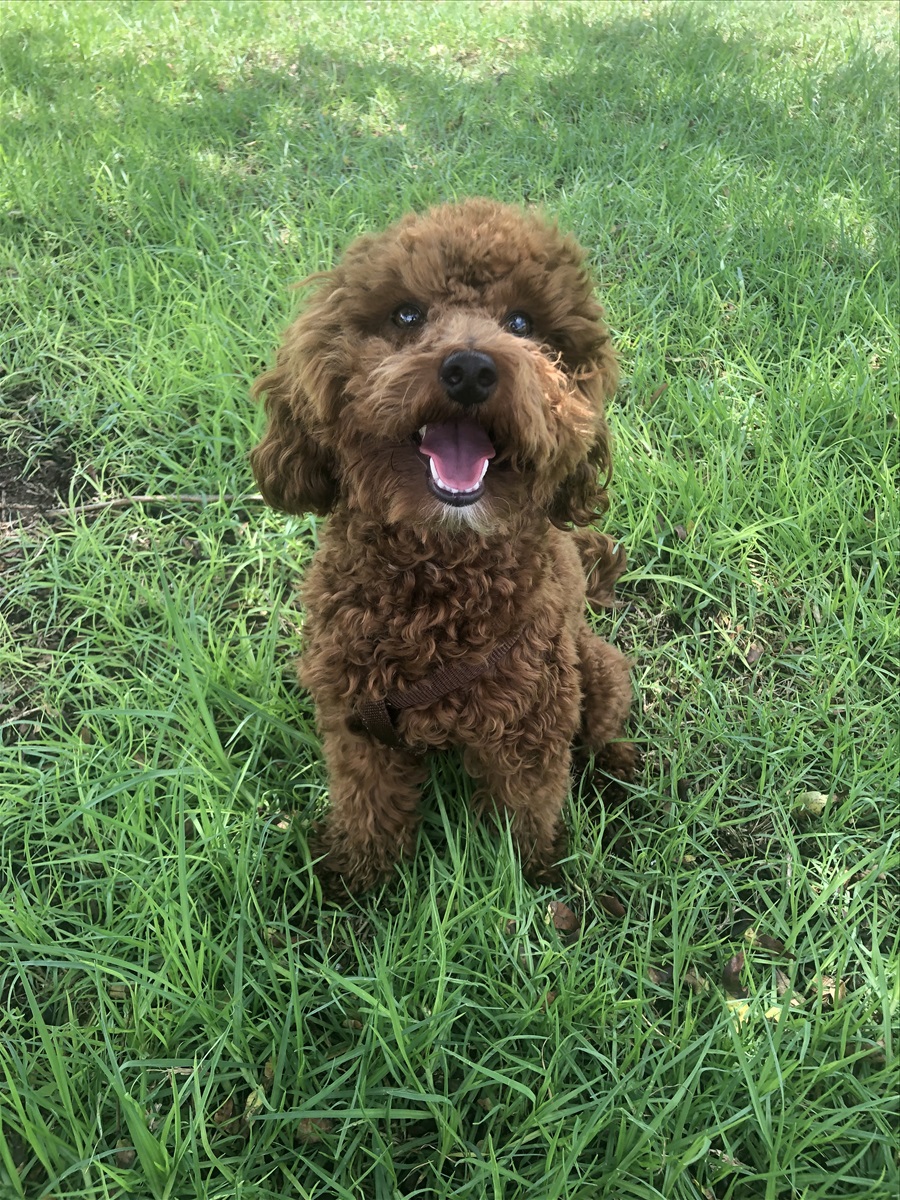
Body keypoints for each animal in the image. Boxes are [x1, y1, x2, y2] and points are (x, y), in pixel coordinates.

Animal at [250, 194, 638, 892]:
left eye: (522, 321)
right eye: (407, 314)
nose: (470, 369)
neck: (439, 569)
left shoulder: (533, 724)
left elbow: (527, 812)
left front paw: (533, 879)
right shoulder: (358, 722)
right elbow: (369, 806)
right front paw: (359, 883)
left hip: (597, 673)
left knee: (599, 732)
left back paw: (619, 765)